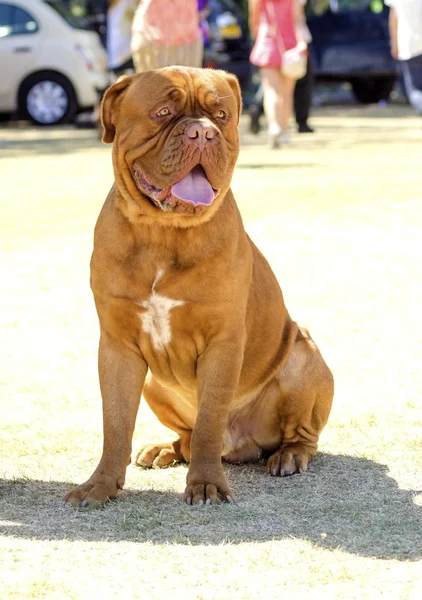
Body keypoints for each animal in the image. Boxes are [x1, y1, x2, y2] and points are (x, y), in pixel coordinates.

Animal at [64, 65, 332, 506]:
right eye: (163, 112)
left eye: (220, 116)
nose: (202, 133)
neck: (163, 232)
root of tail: (240, 445)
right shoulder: (117, 346)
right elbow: (115, 425)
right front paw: (99, 485)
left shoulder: (223, 343)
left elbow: (209, 421)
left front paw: (206, 484)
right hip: (153, 383)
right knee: (186, 437)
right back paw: (163, 449)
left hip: (303, 357)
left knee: (294, 435)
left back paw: (290, 456)